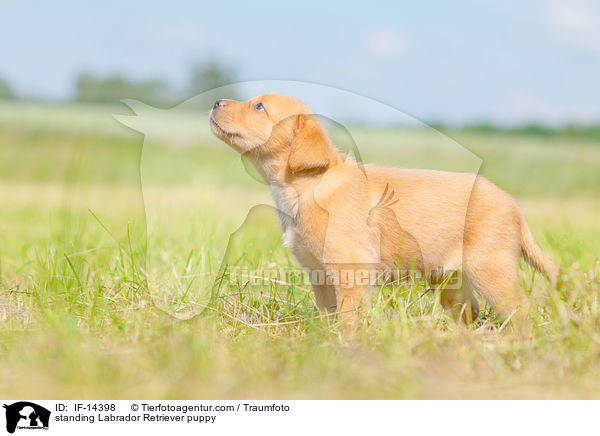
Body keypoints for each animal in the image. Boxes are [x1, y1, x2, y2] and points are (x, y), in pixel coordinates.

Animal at [209, 93, 560, 328]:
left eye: (259, 107)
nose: (215, 102)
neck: (307, 185)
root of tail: (513, 205)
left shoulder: (350, 270)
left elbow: (349, 319)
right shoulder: (319, 275)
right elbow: (328, 315)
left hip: (491, 270)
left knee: (521, 310)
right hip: (452, 281)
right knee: (469, 313)